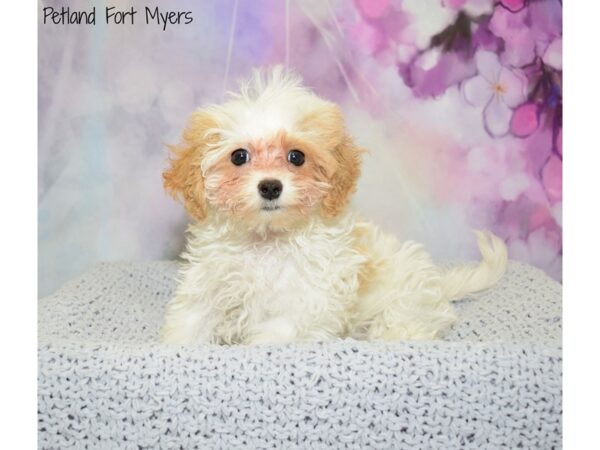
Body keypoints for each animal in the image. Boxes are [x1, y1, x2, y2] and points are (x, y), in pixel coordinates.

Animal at [161, 67, 506, 346]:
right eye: (238, 156)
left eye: (296, 157)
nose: (271, 186)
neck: (267, 240)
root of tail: (436, 285)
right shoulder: (208, 286)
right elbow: (189, 324)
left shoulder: (303, 304)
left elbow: (272, 338)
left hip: (403, 307)